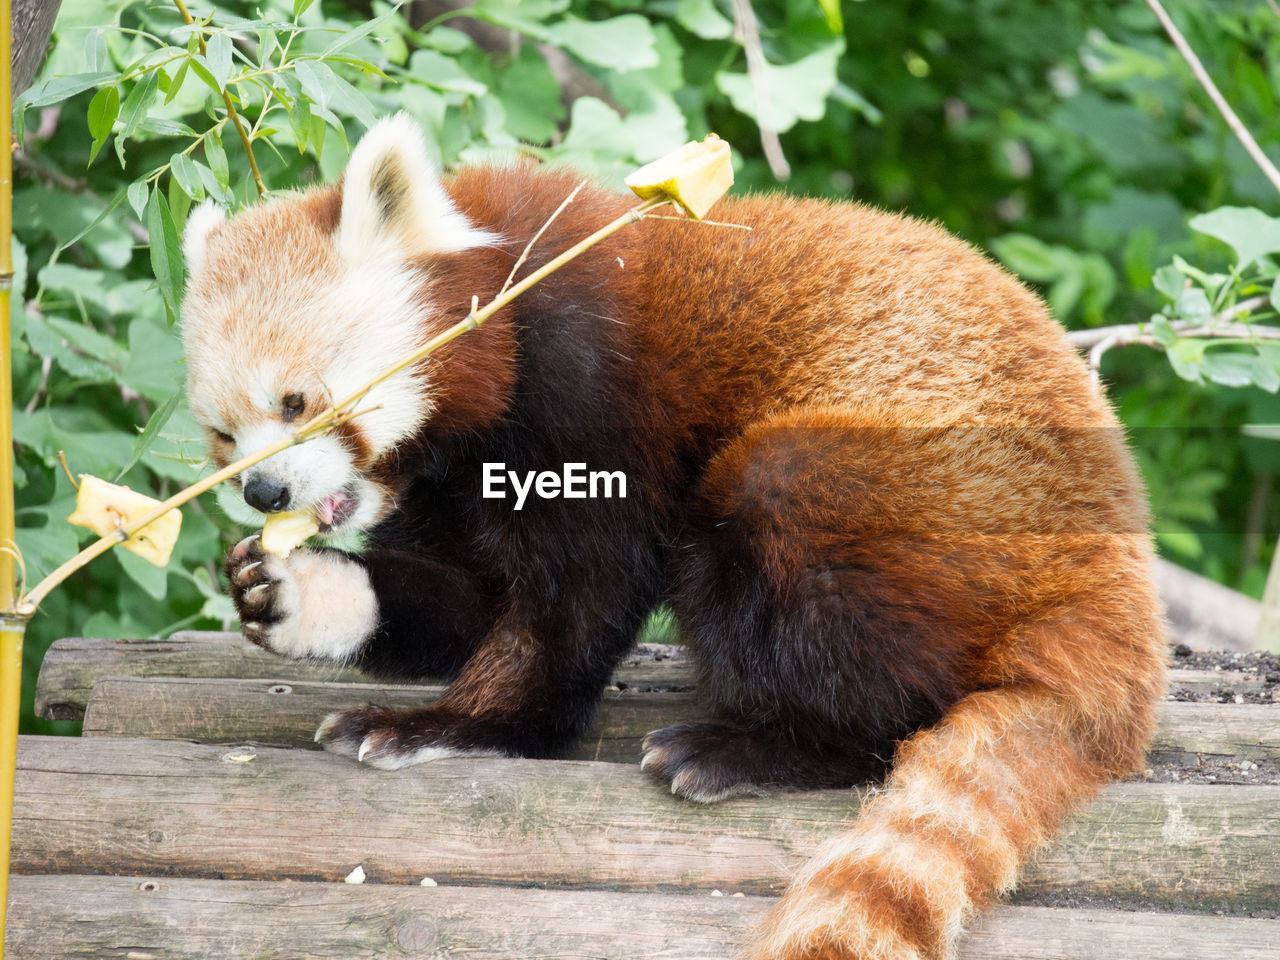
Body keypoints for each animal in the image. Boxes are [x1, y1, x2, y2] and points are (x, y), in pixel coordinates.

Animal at [183, 118, 1172, 960]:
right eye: (225, 435)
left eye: (299, 401)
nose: (263, 490)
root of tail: (1114, 571)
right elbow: (463, 604)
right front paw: (296, 594)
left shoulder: (588, 396)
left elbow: (572, 604)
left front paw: (459, 726)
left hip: (904, 498)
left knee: (810, 559)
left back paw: (762, 748)